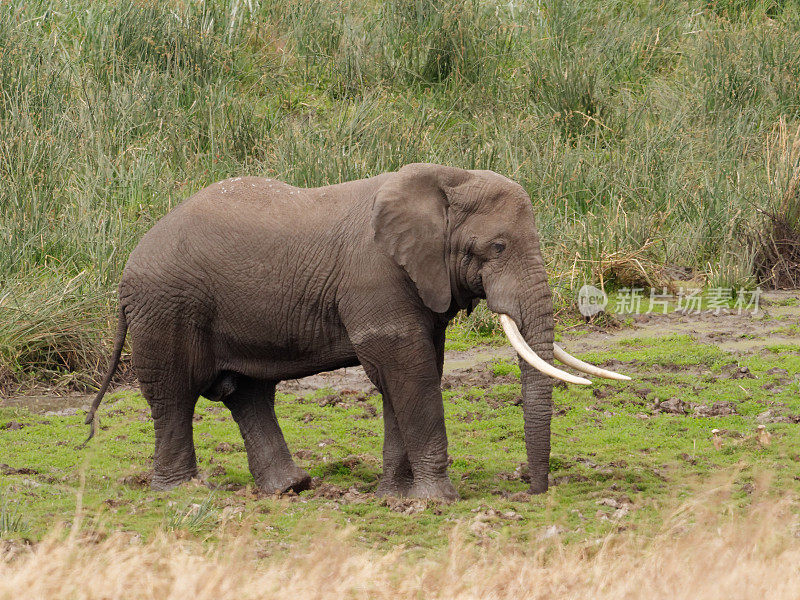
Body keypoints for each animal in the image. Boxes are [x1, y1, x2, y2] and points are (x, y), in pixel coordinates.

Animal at [86, 164, 624, 502]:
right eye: (497, 247)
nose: (532, 490)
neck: (447, 180)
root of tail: (129, 264)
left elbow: (410, 372)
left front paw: (394, 497)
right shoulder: (377, 276)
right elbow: (407, 369)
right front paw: (438, 501)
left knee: (247, 392)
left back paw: (291, 489)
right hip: (167, 310)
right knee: (174, 395)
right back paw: (184, 492)